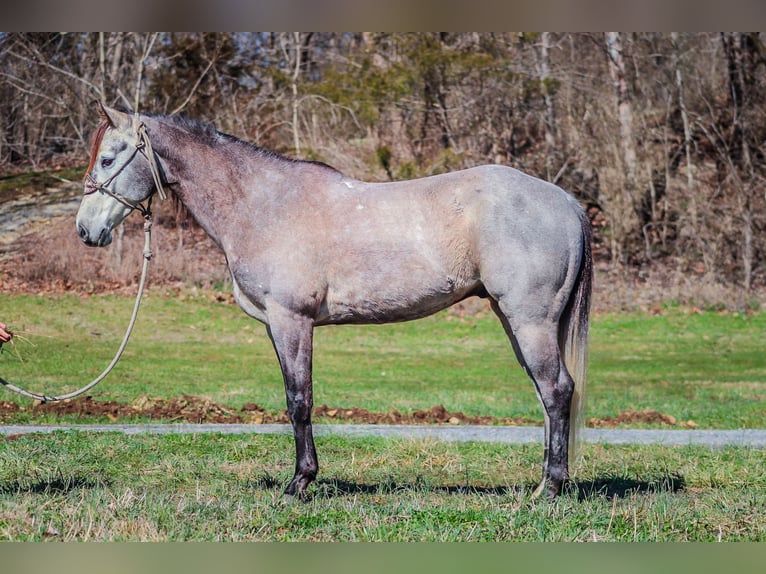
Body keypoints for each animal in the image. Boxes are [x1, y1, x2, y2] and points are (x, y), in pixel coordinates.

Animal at [78, 103, 592, 500]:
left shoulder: (291, 319)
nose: (86, 230)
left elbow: (299, 399)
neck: (262, 204)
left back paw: (550, 489)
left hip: (530, 320)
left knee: (556, 391)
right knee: (546, 394)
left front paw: (299, 483)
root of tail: (566, 200)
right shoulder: (280, 324)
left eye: (107, 159)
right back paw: (544, 483)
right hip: (514, 319)